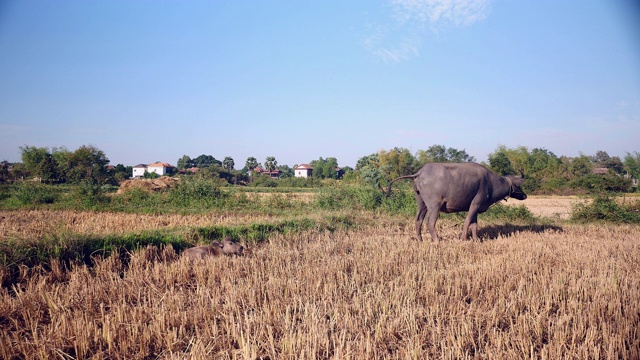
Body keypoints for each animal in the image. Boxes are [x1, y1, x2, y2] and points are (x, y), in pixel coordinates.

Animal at [384, 162, 524, 242]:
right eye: (518, 185)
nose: (524, 195)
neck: (491, 183)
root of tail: (420, 173)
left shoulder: (475, 208)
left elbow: (474, 225)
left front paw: (476, 239)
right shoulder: (475, 204)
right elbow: (467, 222)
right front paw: (463, 238)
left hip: (421, 203)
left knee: (418, 220)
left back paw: (420, 240)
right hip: (434, 205)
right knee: (430, 222)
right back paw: (437, 240)